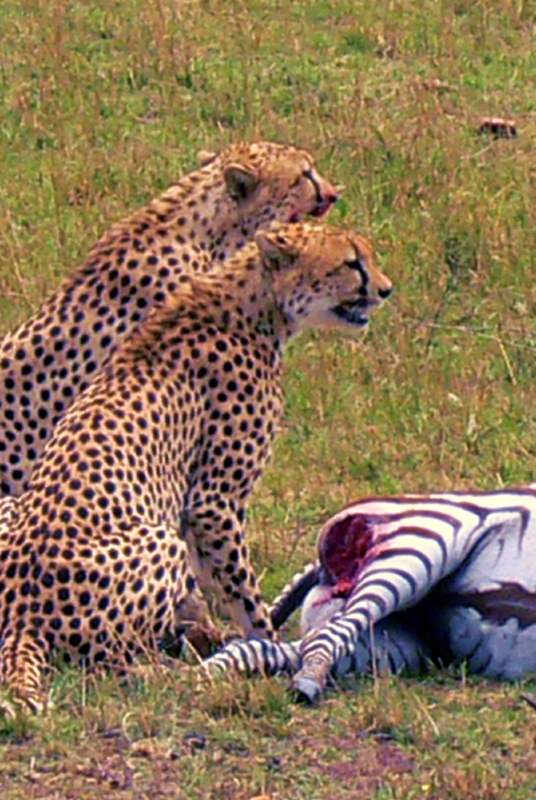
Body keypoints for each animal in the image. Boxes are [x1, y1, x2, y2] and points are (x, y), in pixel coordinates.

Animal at [0, 220, 392, 713]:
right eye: (351, 263)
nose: (386, 289)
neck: (257, 307)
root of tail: (19, 614)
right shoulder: (214, 501)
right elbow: (242, 589)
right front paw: (265, 645)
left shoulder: (198, 510)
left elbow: (213, 579)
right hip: (157, 541)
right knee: (109, 655)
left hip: (9, 507)